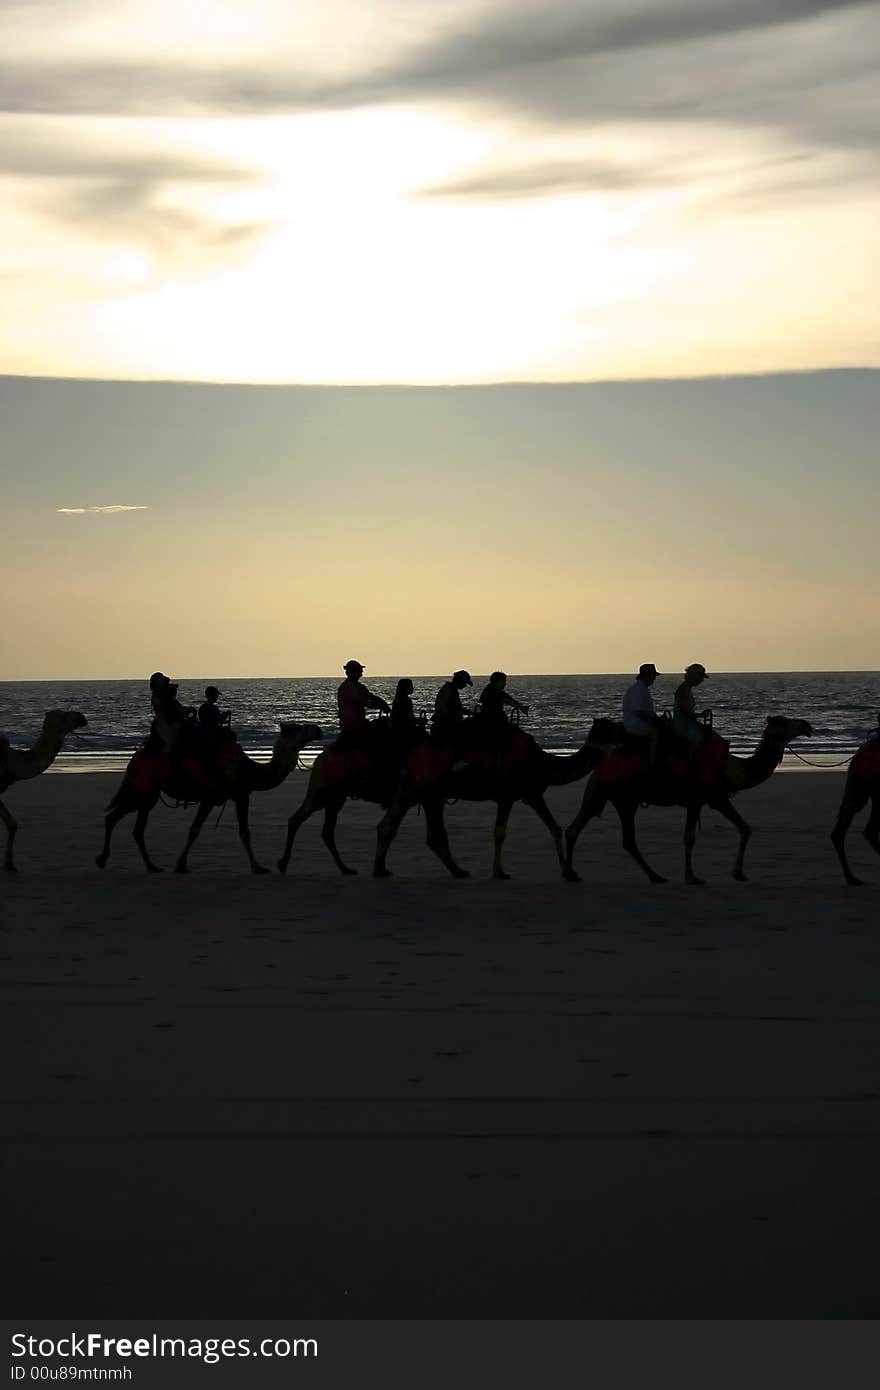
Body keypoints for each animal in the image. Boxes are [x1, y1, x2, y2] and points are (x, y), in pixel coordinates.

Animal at [96, 722, 322, 872]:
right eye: (298, 727)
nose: (318, 729)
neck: (250, 771)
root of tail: (134, 759)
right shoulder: (236, 795)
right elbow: (239, 832)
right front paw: (258, 867)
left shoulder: (215, 799)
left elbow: (196, 830)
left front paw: (181, 864)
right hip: (142, 790)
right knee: (115, 818)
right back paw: (103, 859)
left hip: (148, 795)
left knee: (133, 827)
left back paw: (151, 866)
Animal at [279, 717, 617, 878]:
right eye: (613, 728)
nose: (626, 733)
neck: (541, 761)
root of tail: (324, 754)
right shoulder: (511, 794)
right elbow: (501, 832)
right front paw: (499, 872)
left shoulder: (529, 792)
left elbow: (554, 826)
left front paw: (569, 872)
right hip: (354, 789)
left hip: (412, 794)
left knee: (426, 834)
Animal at [561, 711, 811, 884]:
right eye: (783, 722)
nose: (807, 725)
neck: (729, 768)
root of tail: (601, 763)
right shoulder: (697, 799)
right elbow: (689, 837)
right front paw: (692, 877)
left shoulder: (717, 799)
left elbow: (745, 828)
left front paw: (738, 873)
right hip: (606, 792)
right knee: (584, 829)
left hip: (619, 799)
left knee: (618, 838)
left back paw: (654, 876)